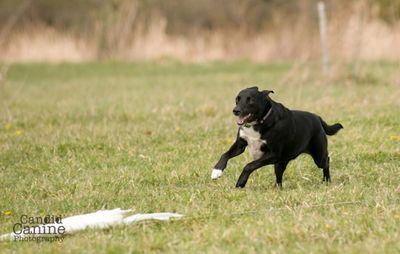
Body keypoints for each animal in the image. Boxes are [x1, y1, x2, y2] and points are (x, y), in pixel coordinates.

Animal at [211, 86, 342, 188]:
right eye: (237, 99)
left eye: (250, 100)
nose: (236, 110)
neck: (259, 122)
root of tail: (318, 118)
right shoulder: (240, 145)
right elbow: (225, 155)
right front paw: (216, 171)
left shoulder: (273, 154)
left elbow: (249, 165)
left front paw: (241, 182)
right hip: (281, 162)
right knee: (279, 175)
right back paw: (278, 188)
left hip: (318, 155)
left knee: (326, 161)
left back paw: (327, 180)